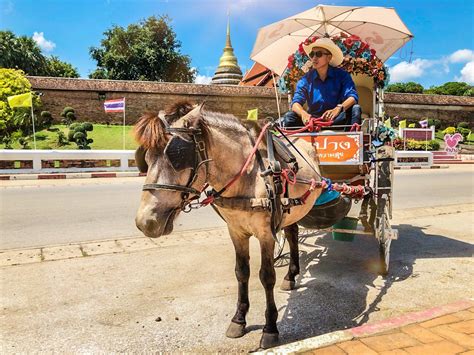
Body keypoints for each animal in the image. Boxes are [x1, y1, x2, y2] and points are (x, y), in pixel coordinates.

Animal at [132, 101, 322, 350]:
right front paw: (239, 319)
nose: (146, 222)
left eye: (177, 156)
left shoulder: (265, 234)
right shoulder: (236, 231)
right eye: (146, 158)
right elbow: (241, 272)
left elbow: (266, 276)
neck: (249, 175)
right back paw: (291, 276)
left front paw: (270, 327)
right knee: (291, 232)